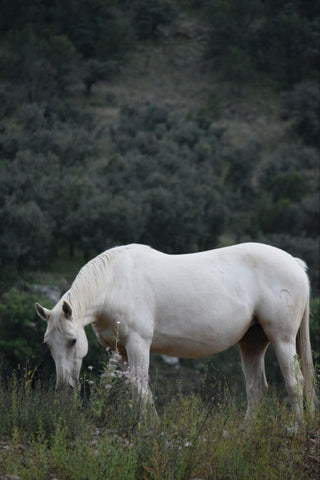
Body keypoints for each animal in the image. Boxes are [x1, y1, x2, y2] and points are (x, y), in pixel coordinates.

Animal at [36, 244, 316, 420]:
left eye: (73, 341)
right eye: (48, 344)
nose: (64, 387)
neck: (114, 282)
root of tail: (295, 264)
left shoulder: (138, 343)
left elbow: (141, 389)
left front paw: (150, 431)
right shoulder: (120, 351)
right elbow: (128, 389)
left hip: (282, 339)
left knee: (295, 383)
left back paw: (295, 430)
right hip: (252, 342)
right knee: (257, 389)